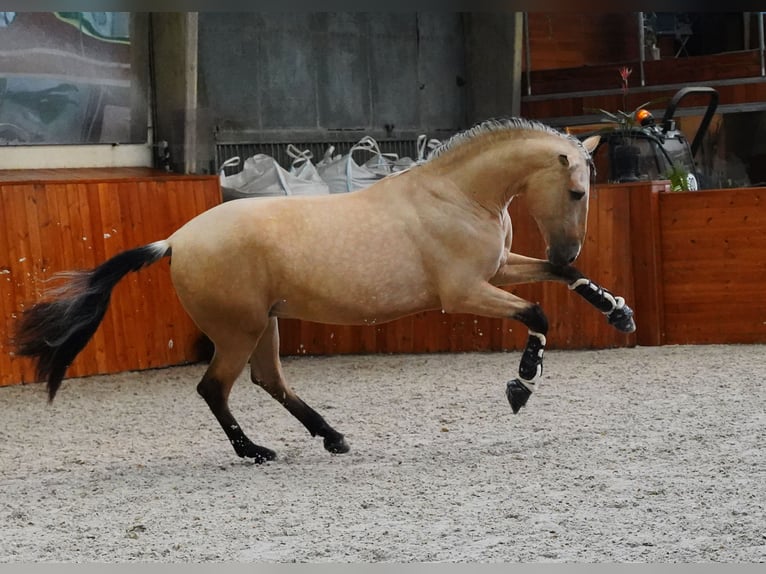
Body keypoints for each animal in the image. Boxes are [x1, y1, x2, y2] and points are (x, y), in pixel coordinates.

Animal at [15, 119, 636, 466]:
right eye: (577, 191)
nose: (569, 248)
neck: (456, 195)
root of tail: (175, 241)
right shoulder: (465, 291)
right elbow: (538, 314)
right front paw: (520, 386)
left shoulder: (502, 268)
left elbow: (561, 282)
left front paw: (620, 313)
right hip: (238, 330)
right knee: (215, 388)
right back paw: (256, 452)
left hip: (264, 324)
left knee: (268, 381)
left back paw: (332, 438)